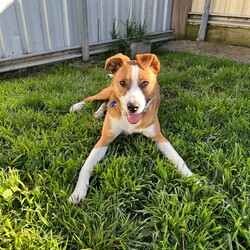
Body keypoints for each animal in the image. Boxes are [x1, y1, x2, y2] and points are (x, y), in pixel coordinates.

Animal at [68, 52, 193, 203]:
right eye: (122, 82)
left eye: (145, 83)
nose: (133, 107)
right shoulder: (105, 138)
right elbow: (86, 164)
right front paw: (78, 190)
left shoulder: (158, 137)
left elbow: (177, 157)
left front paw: (193, 178)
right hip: (107, 91)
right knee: (94, 98)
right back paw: (78, 106)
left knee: (106, 103)